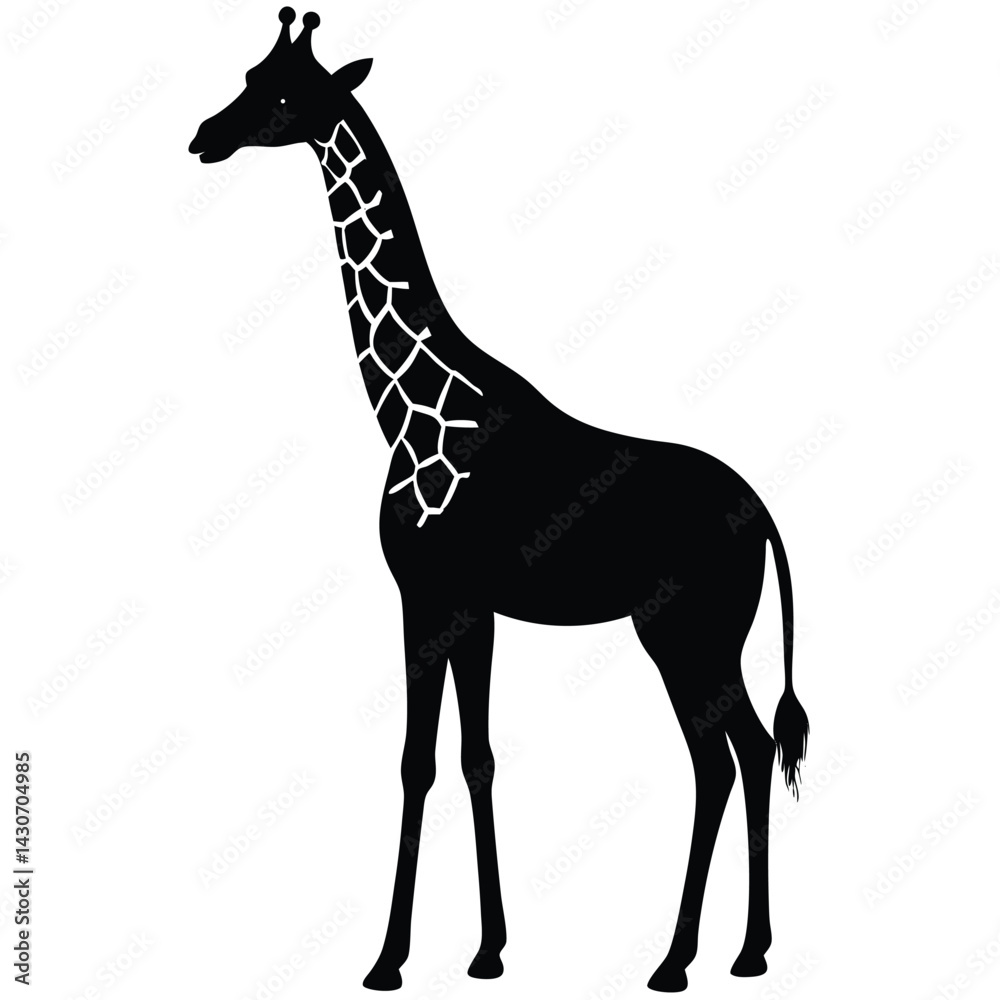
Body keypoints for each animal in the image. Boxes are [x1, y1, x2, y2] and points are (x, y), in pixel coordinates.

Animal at [190, 9, 810, 993]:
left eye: (284, 95)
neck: (402, 409)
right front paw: (487, 950)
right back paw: (743, 952)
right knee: (745, 751)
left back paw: (680, 960)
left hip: (682, 630)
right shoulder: (468, 606)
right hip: (711, 634)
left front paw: (388, 961)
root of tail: (767, 517)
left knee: (720, 757)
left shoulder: (423, 593)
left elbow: (418, 761)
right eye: (249, 75)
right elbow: (472, 758)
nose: (205, 136)